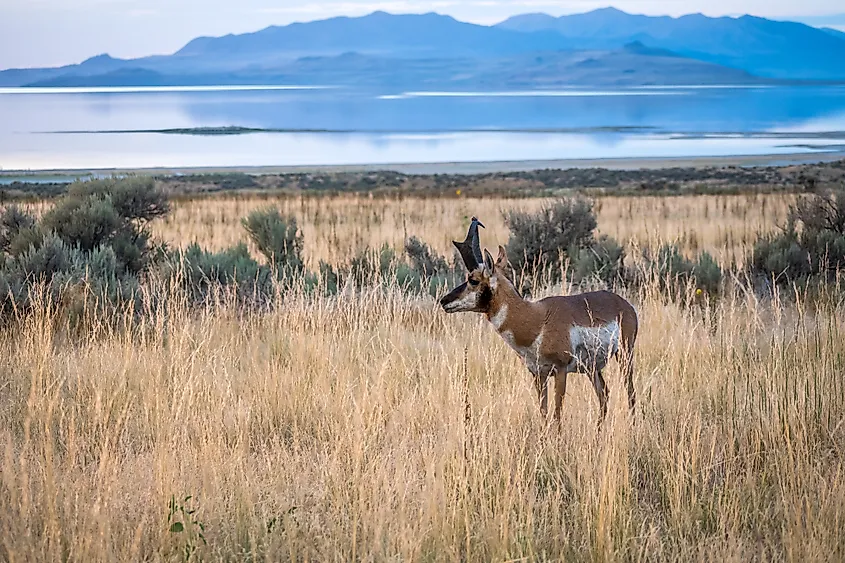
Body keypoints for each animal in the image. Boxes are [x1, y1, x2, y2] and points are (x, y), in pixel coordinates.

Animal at [440, 217, 638, 425]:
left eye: (473, 280)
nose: (444, 301)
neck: (536, 320)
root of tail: (624, 304)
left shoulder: (560, 371)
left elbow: (557, 415)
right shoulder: (538, 375)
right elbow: (543, 413)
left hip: (625, 356)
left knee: (630, 392)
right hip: (592, 368)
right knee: (604, 394)